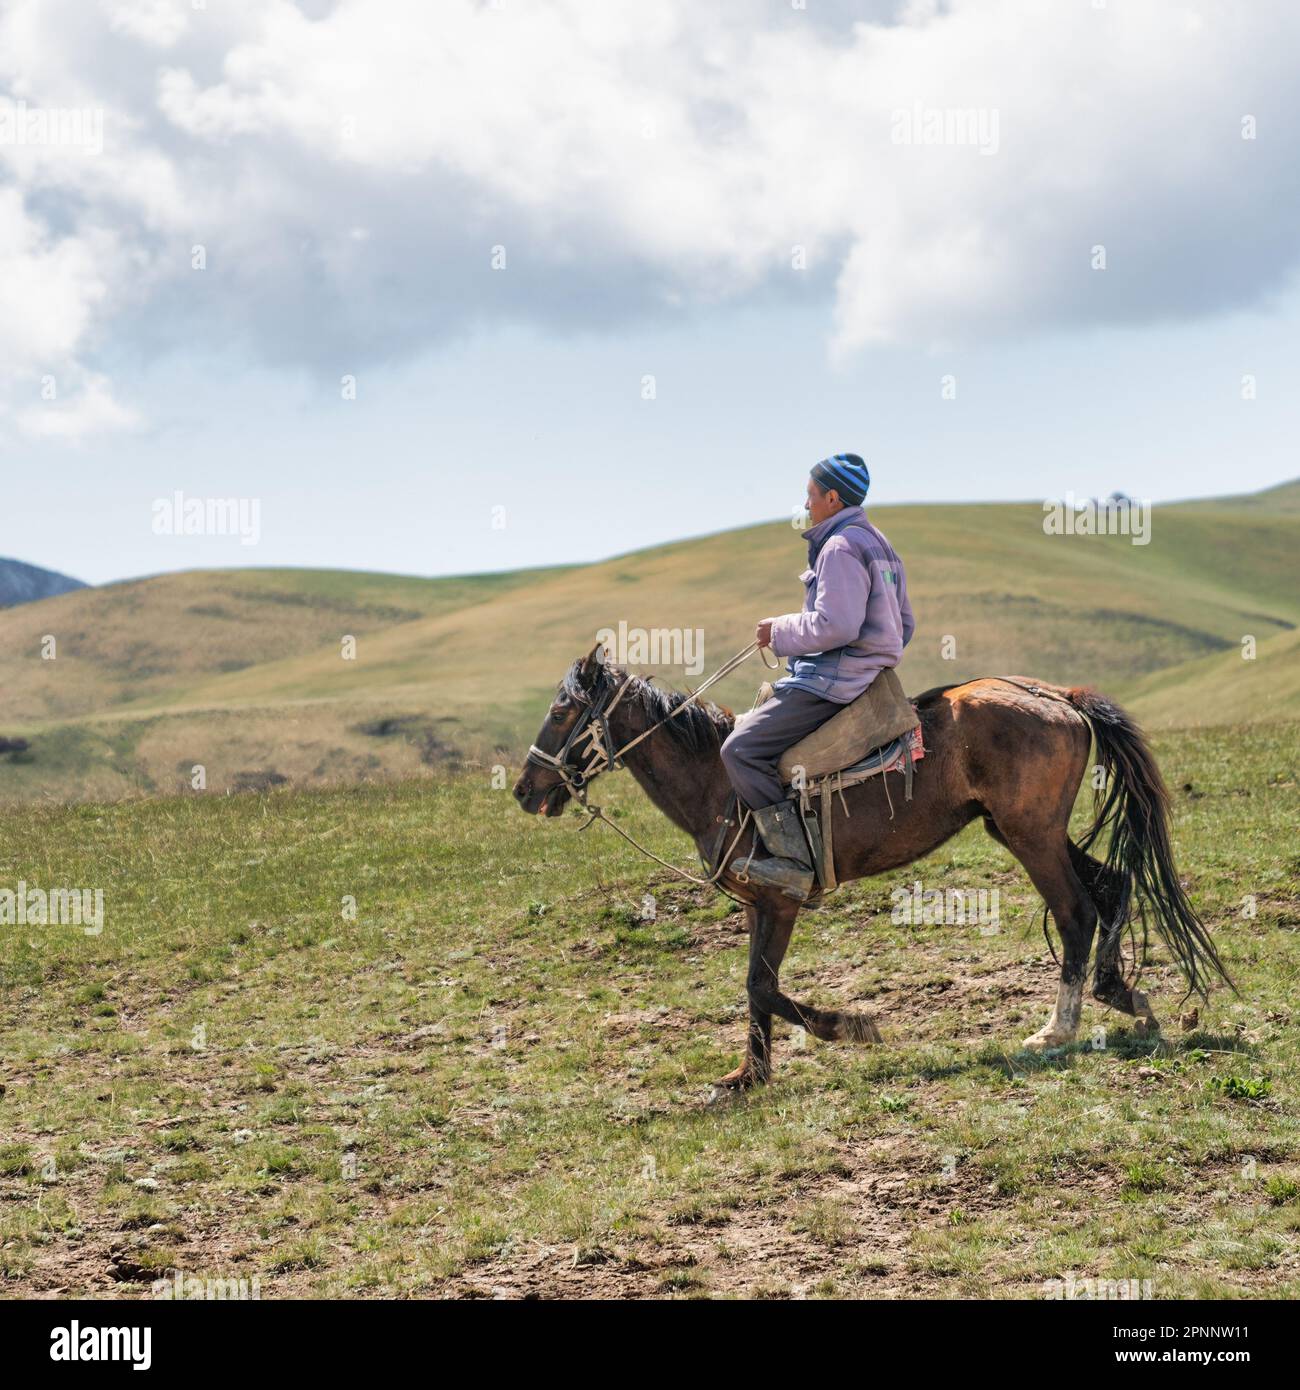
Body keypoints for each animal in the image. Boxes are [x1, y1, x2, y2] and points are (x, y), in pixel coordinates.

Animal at [511, 644, 1229, 1089]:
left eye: (560, 711)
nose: (523, 791)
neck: (715, 776)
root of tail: (1056, 695)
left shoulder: (782, 899)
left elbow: (762, 986)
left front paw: (849, 1026)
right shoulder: (758, 905)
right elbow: (755, 987)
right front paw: (749, 1077)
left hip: (1031, 837)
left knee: (1077, 911)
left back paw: (1057, 1029)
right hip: (1022, 830)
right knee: (1112, 885)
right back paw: (1126, 998)